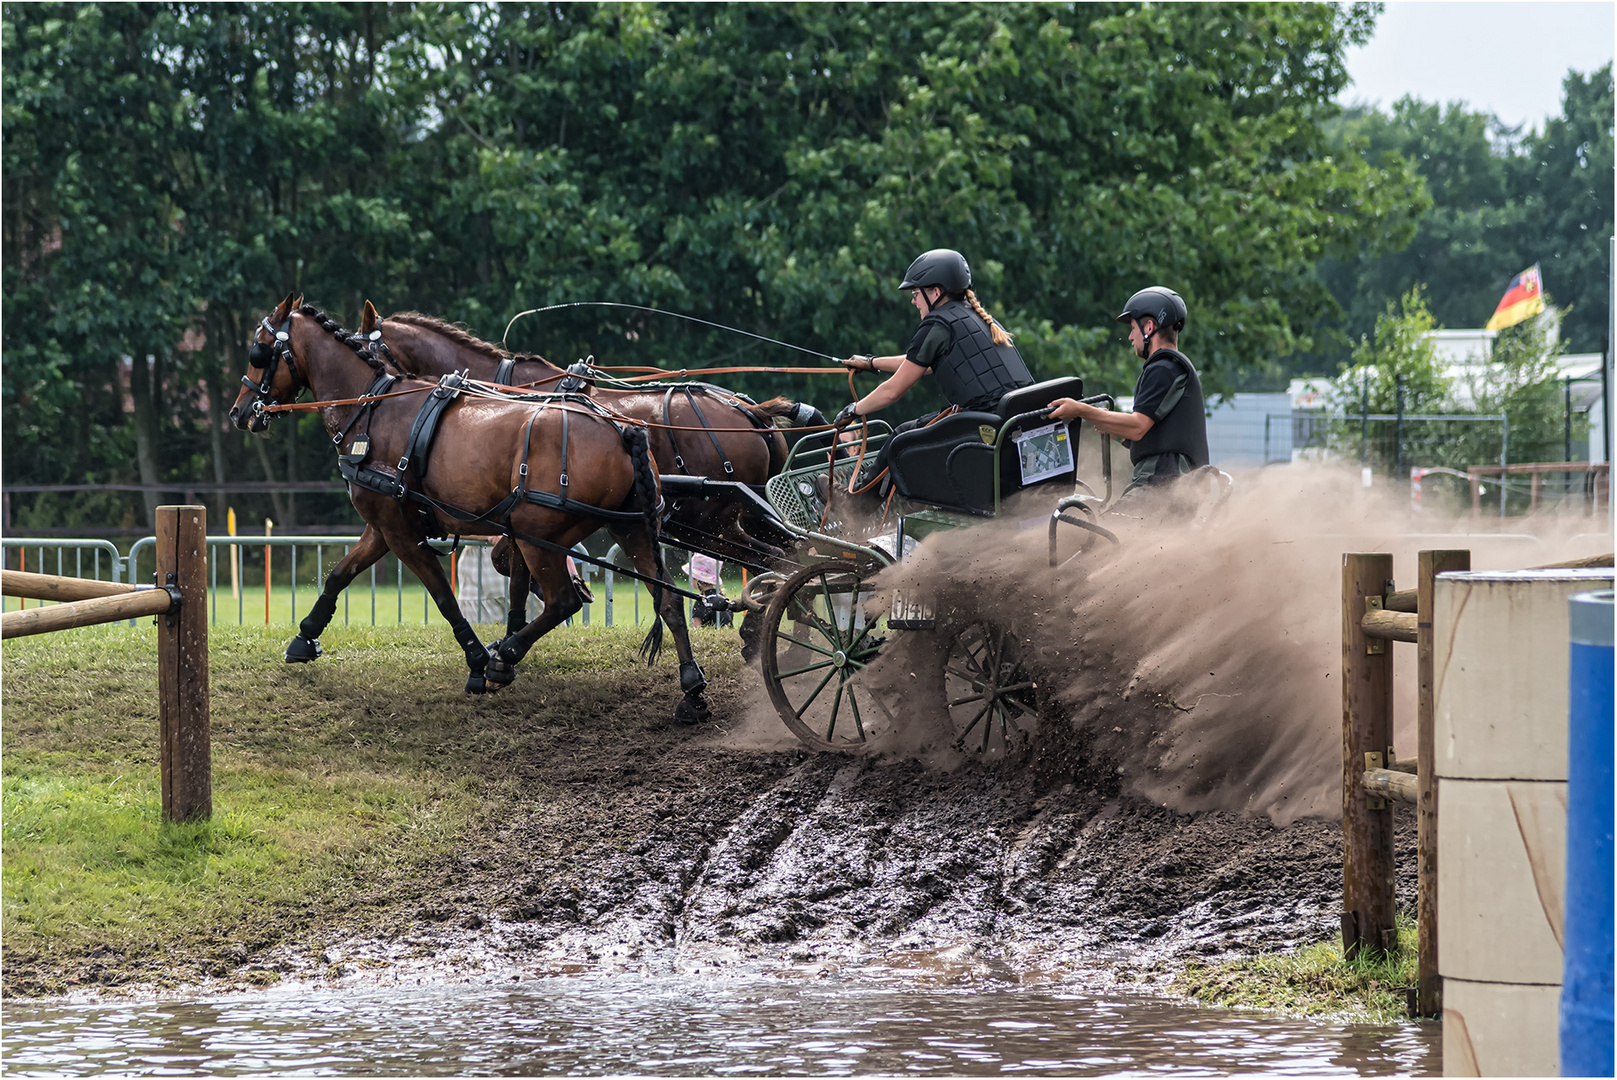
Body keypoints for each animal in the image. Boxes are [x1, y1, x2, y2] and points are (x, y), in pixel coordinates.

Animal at [227, 292, 714, 724]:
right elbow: (340, 574)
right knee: (668, 599)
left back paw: (505, 657)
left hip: (541, 535)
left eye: (259, 349)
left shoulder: (402, 532)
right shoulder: (384, 525)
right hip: (628, 530)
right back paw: (690, 688)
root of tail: (621, 429)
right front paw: (305, 636)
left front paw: (481, 660)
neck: (370, 406)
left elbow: (445, 597)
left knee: (564, 600)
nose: (239, 412)